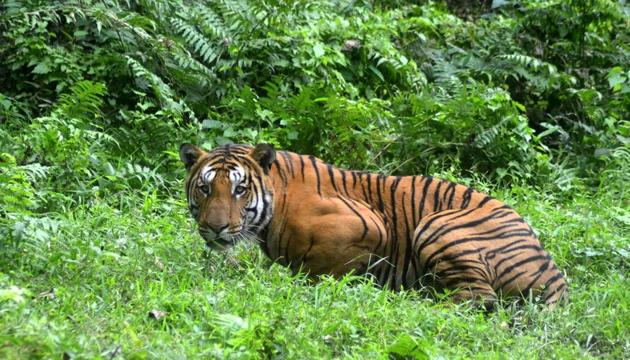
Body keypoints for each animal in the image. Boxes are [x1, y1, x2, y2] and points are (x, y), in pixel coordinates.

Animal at [180, 142, 572, 308]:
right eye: (205, 187)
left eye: (240, 189)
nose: (215, 228)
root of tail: (554, 273)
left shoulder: (369, 225)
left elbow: (320, 269)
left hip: (437, 225)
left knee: (479, 299)